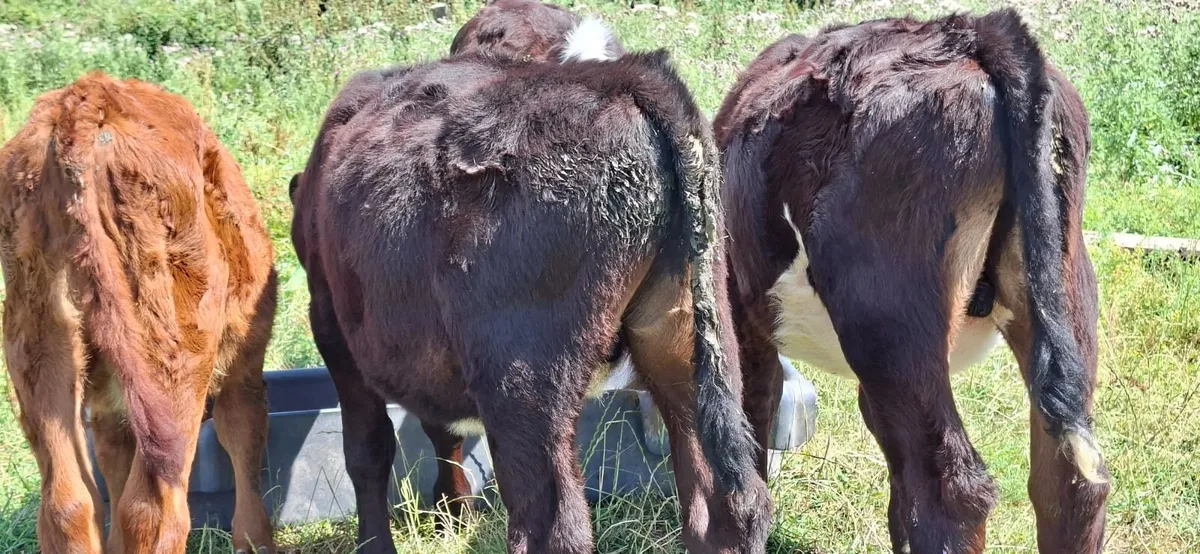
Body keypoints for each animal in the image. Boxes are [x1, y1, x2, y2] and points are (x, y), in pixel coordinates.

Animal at [0, 73, 277, 554]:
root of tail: (85, 97)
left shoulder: (110, 408)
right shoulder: (244, 365)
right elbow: (244, 439)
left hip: (36, 340)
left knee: (68, 504)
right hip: (174, 351)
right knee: (153, 509)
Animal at [288, 19, 770, 554]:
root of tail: (626, 77)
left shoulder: (331, 320)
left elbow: (368, 449)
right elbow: (440, 430)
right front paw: (452, 509)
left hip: (522, 377)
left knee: (555, 526)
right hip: (689, 335)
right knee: (723, 506)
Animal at [715, 10, 1109, 554]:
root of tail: (969, 32)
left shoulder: (739, 316)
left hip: (885, 317)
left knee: (949, 492)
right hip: (1064, 292)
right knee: (1067, 484)